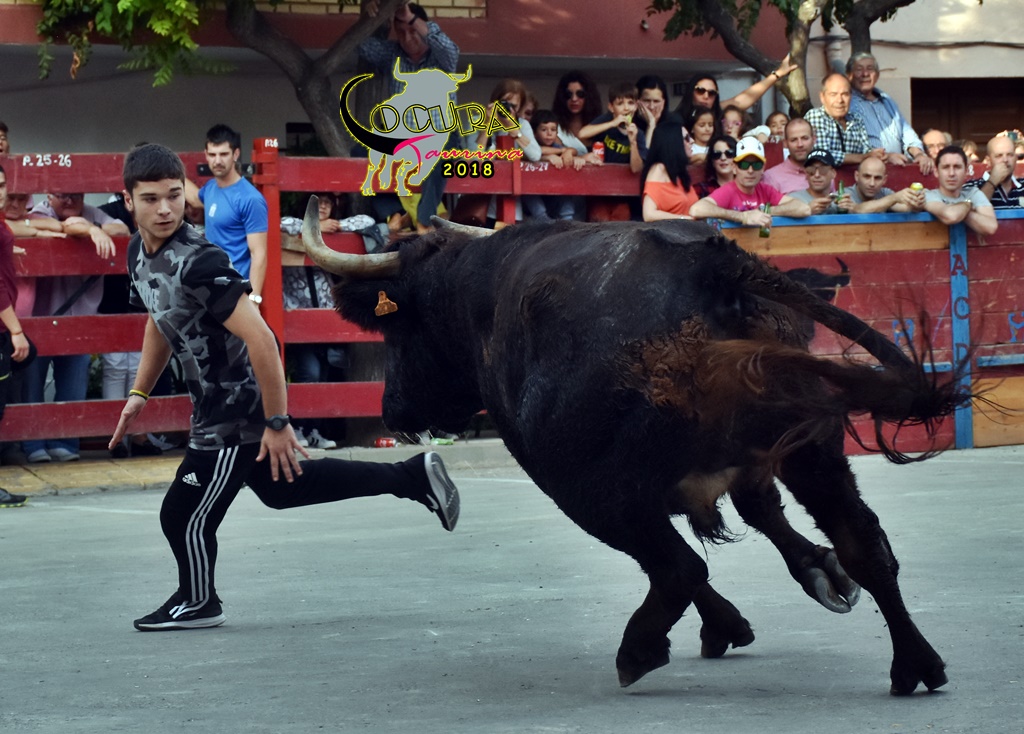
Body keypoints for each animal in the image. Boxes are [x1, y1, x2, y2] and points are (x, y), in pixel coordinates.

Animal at [300, 200, 968, 696]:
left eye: (396, 327)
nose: (392, 408)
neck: (474, 294)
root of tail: (713, 270)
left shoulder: (580, 475)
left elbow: (678, 553)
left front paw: (728, 623)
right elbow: (760, 514)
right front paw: (815, 572)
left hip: (587, 484)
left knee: (677, 565)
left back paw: (640, 648)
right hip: (814, 449)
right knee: (862, 542)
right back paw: (916, 664)